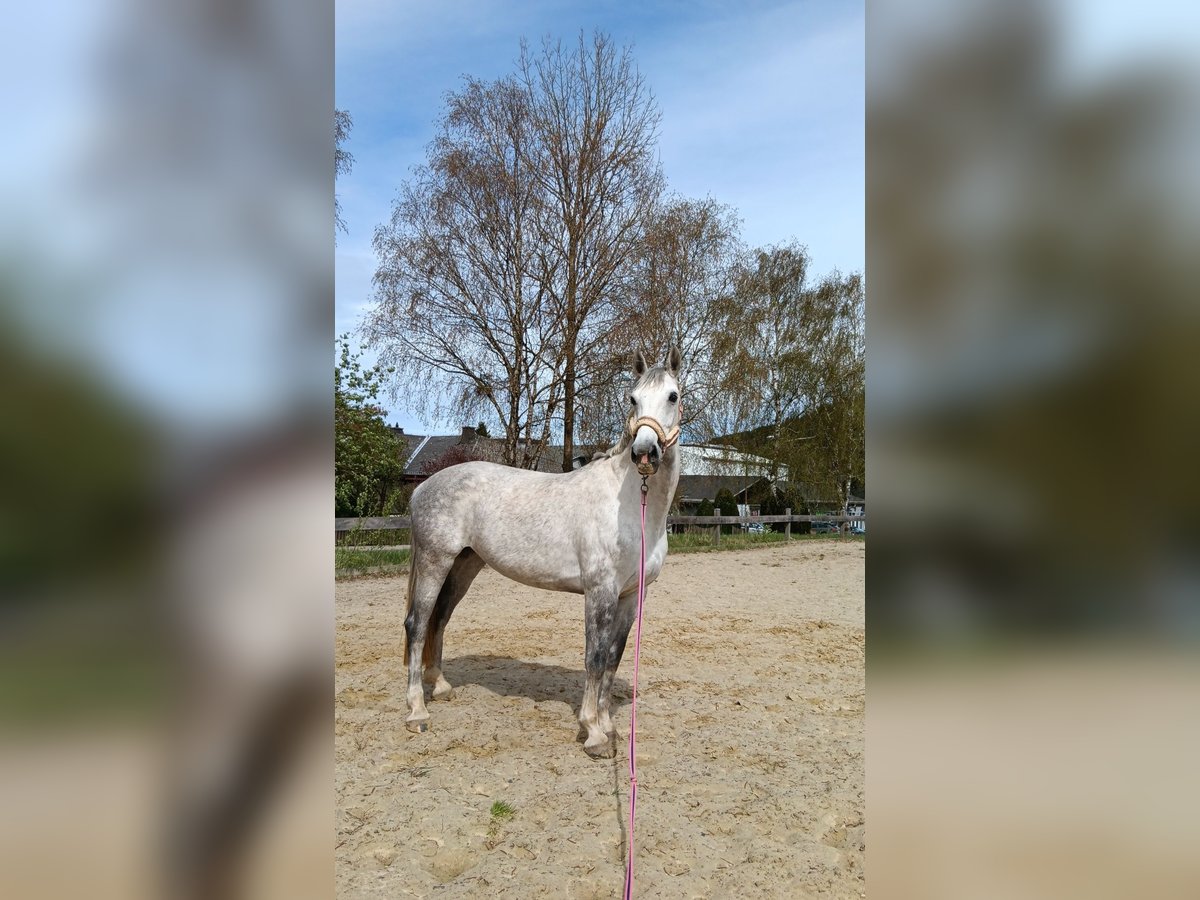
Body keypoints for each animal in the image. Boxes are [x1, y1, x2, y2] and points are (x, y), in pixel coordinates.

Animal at [405, 348, 681, 758]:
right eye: (633, 399)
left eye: (673, 396)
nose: (645, 452)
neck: (632, 506)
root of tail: (422, 488)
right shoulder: (600, 591)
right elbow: (595, 657)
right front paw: (593, 733)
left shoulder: (631, 596)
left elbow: (613, 658)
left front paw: (608, 726)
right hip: (433, 562)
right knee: (417, 625)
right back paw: (417, 711)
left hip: (463, 566)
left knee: (438, 620)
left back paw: (440, 687)